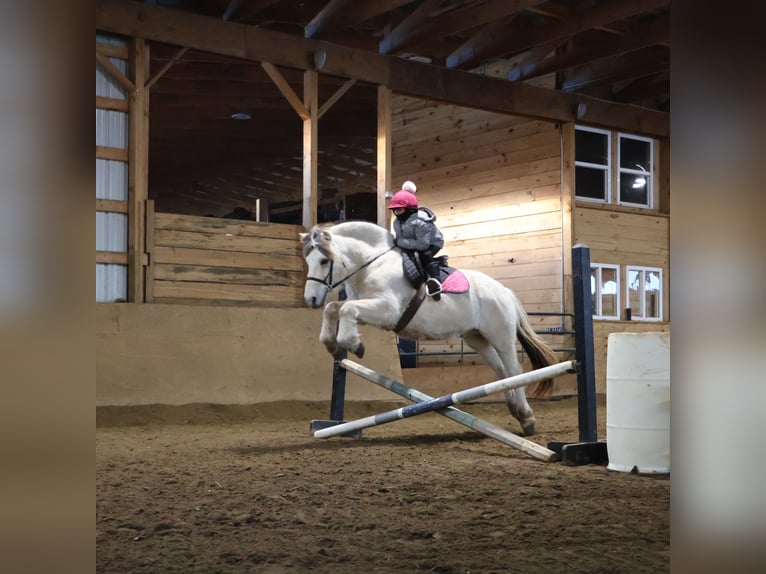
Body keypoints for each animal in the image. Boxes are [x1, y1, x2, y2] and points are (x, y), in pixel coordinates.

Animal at [300, 220, 559, 436]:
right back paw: (515, 410)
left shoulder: (387, 310)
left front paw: (354, 344)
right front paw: (333, 345)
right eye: (308, 261)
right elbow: (334, 308)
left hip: (501, 336)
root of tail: (504, 291)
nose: (310, 299)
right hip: (477, 338)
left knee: (514, 370)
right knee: (502, 371)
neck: (371, 264)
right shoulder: (367, 310)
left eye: (324, 261)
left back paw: (526, 417)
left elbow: (346, 310)